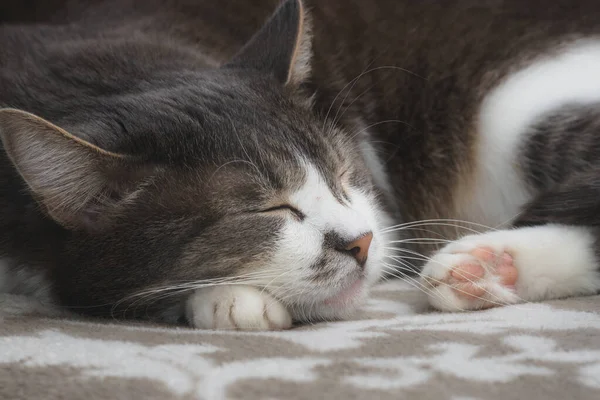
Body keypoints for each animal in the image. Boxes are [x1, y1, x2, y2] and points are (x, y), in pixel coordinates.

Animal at [1, 0, 600, 330]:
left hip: (517, 108)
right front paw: (230, 298)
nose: (360, 243)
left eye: (342, 174)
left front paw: (228, 301)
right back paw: (487, 269)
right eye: (264, 210)